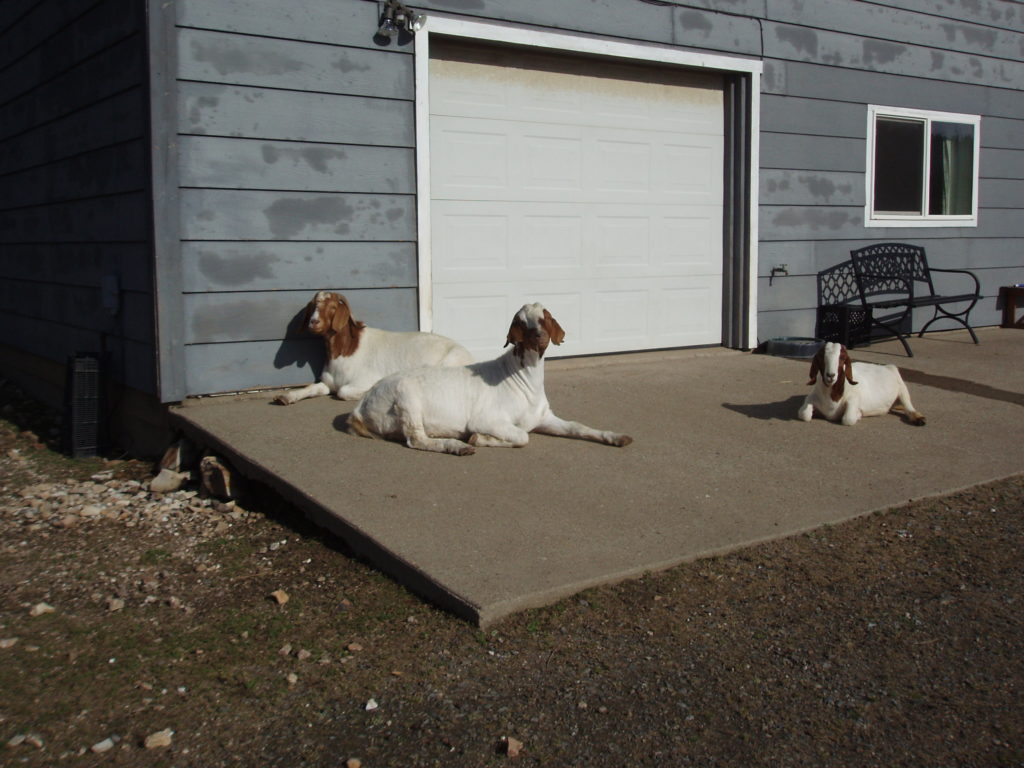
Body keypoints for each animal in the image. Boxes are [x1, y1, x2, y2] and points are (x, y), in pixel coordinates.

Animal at [276, 290, 475, 405]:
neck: (346, 350)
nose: (313, 322)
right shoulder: (328, 382)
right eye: (313, 306)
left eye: (332, 307)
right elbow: (313, 388)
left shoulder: (363, 379)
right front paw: (287, 397)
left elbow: (343, 392)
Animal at [348, 303, 630, 456]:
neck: (521, 379)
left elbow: (577, 427)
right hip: (406, 398)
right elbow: (522, 436)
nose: (539, 337)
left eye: (546, 318)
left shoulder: (543, 418)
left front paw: (616, 437)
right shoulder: (487, 419)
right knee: (416, 439)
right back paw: (456, 446)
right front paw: (479, 439)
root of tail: (361, 405)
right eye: (521, 323)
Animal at [798, 342, 929, 428]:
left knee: (908, 405)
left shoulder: (854, 399)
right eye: (821, 357)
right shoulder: (810, 398)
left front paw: (858, 415)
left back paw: (919, 419)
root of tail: (888, 367)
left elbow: (848, 419)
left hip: (902, 388)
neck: (832, 398)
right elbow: (804, 414)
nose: (831, 375)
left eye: (842, 358)